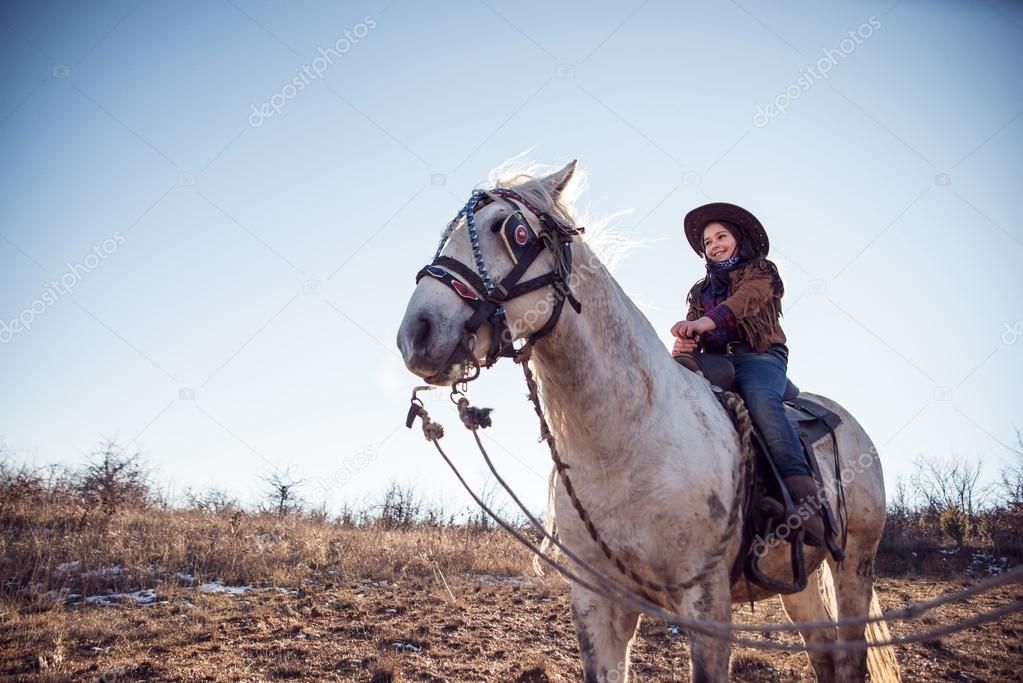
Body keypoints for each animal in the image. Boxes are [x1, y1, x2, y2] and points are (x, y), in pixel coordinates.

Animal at [394, 161, 900, 683]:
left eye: (511, 230)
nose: (418, 333)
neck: (627, 439)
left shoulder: (707, 603)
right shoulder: (597, 603)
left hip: (854, 565)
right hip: (798, 581)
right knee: (823, 652)